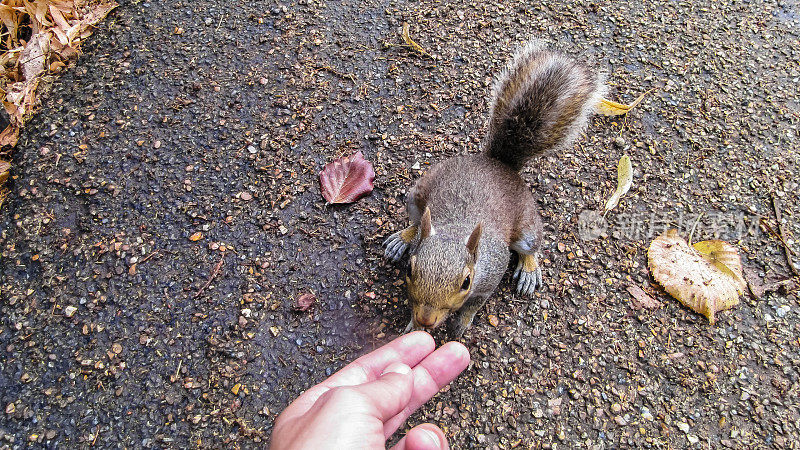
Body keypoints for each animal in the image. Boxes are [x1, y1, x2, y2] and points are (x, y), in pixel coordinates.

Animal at [384, 41, 604, 338]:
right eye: (409, 268)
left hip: (526, 224)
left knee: (531, 245)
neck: (457, 231)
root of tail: (499, 165)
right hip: (416, 197)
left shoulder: (490, 276)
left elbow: (474, 305)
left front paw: (461, 323)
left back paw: (529, 269)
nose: (427, 319)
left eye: (466, 282)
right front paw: (413, 323)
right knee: (418, 222)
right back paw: (403, 238)